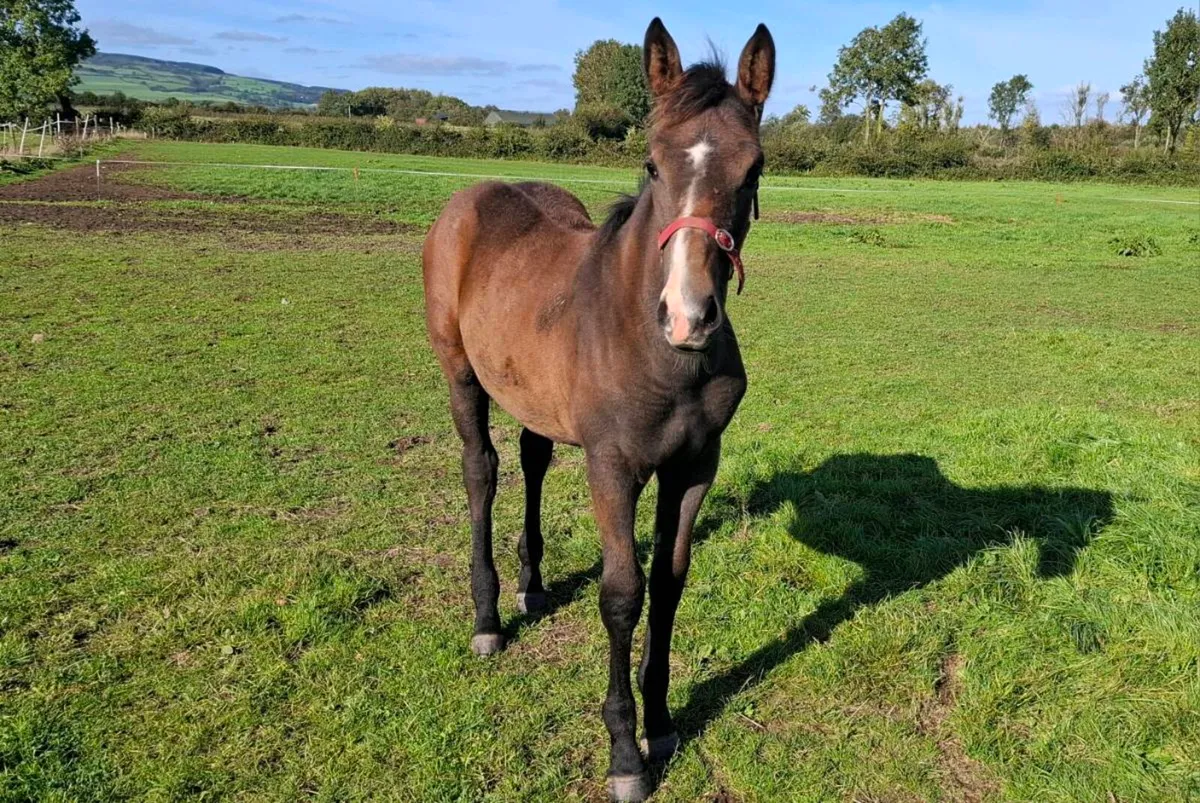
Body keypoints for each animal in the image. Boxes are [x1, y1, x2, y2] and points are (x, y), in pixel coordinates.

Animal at [422, 18, 774, 802]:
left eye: (755, 169)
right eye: (651, 164)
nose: (688, 317)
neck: (657, 353)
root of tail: (470, 197)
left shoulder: (695, 465)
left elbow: (669, 581)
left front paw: (664, 721)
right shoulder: (614, 467)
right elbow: (622, 592)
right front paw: (625, 753)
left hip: (532, 393)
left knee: (532, 459)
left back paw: (531, 586)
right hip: (460, 372)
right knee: (481, 469)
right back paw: (488, 616)